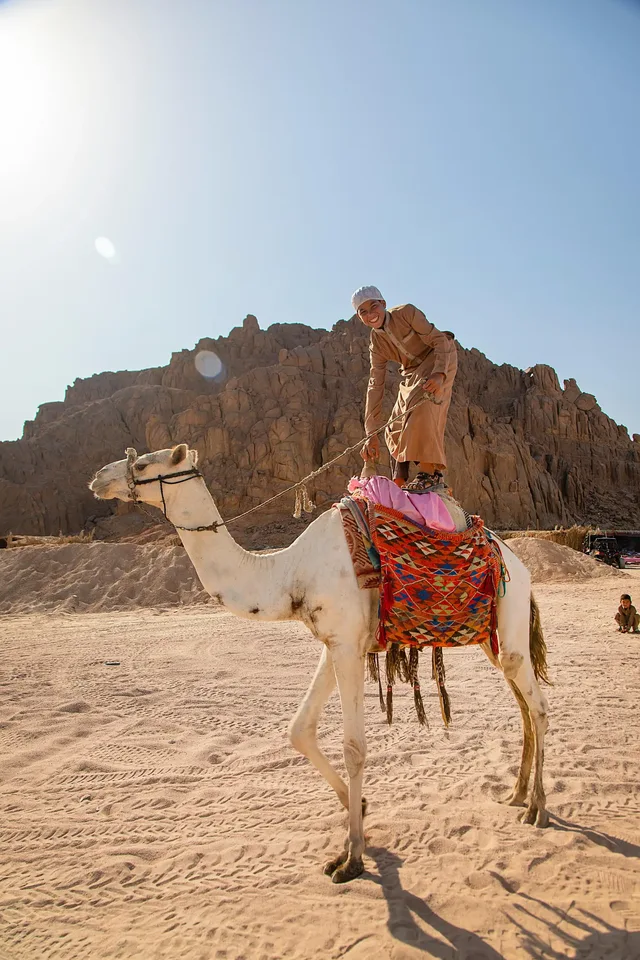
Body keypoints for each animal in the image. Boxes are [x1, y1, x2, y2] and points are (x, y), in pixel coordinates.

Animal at [89, 444, 550, 884]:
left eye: (143, 464)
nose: (97, 478)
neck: (289, 572)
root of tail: (518, 563)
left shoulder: (347, 645)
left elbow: (354, 748)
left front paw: (352, 858)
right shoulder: (334, 644)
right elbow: (299, 731)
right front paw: (358, 806)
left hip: (508, 620)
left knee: (539, 708)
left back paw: (537, 808)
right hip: (493, 640)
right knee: (523, 705)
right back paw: (516, 794)